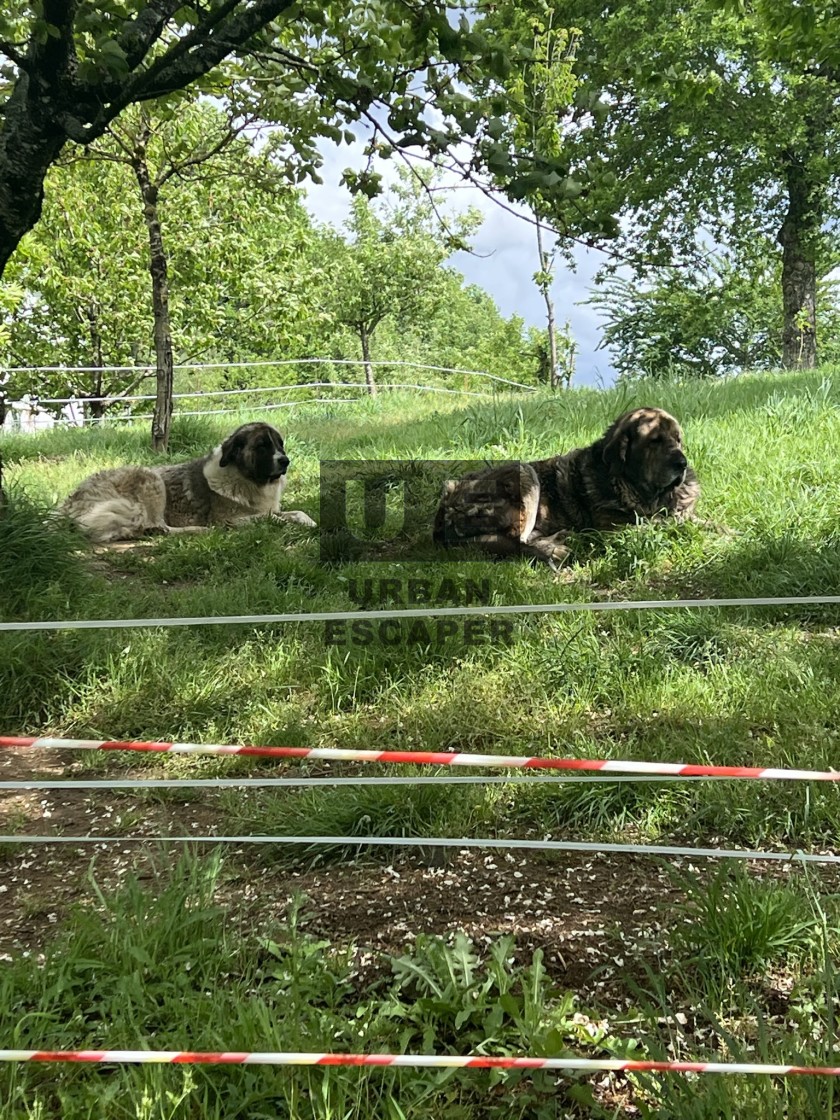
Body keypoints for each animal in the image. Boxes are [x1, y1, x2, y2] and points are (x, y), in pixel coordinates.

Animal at [59, 421, 315, 542]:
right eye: (262, 446)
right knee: (161, 527)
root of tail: (70, 503)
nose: (285, 461)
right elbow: (271, 518)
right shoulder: (231, 519)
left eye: (280, 444)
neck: (247, 479)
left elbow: (296, 512)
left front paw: (309, 521)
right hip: (151, 479)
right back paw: (197, 530)